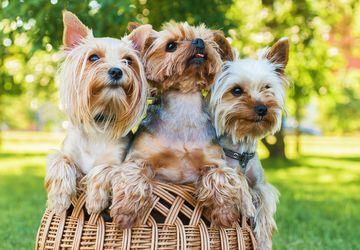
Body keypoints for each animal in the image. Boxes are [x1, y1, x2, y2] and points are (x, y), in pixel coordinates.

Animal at [45, 11, 150, 215]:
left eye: (128, 60)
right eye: (93, 58)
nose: (117, 71)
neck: (100, 120)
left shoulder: (118, 162)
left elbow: (103, 168)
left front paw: (94, 201)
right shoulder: (68, 154)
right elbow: (59, 160)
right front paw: (59, 199)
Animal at [111, 22, 255, 229]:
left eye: (206, 39)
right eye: (171, 45)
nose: (199, 42)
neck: (184, 104)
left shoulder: (215, 161)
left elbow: (220, 177)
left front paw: (225, 212)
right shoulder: (138, 158)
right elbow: (133, 176)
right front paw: (126, 211)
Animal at [210, 38, 288, 249]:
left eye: (267, 88)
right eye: (236, 90)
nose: (262, 108)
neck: (241, 151)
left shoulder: (261, 186)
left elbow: (264, 212)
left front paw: (263, 240)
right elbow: (237, 181)